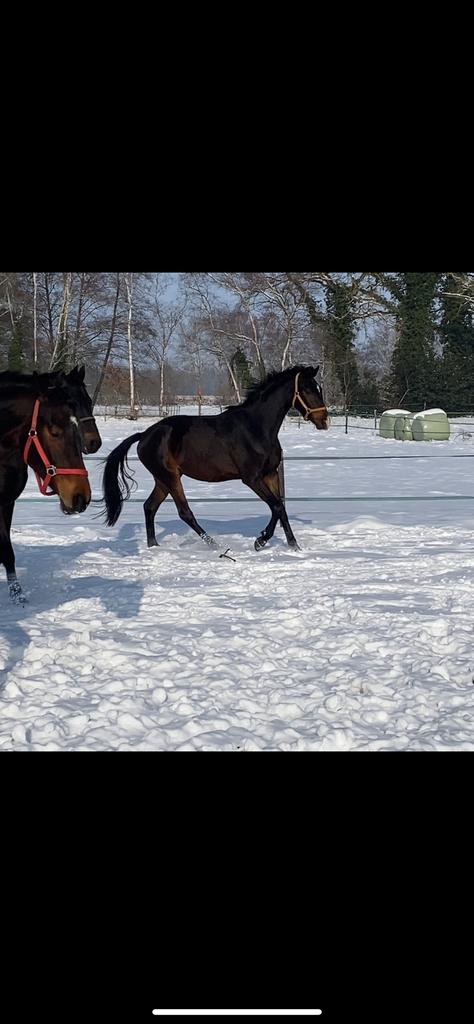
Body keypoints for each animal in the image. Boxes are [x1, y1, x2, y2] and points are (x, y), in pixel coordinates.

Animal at [0, 372, 98, 604]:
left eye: (88, 401)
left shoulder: (6, 503)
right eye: (54, 432)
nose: (81, 497)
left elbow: (7, 552)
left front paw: (18, 596)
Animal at [102, 364, 329, 553]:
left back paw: (154, 546)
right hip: (170, 477)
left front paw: (294, 546)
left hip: (163, 479)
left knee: (149, 507)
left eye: (319, 388)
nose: (324, 420)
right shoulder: (252, 479)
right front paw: (260, 541)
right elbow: (276, 506)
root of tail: (144, 435)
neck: (256, 428)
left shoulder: (270, 474)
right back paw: (215, 545)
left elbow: (281, 508)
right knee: (184, 512)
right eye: (307, 389)